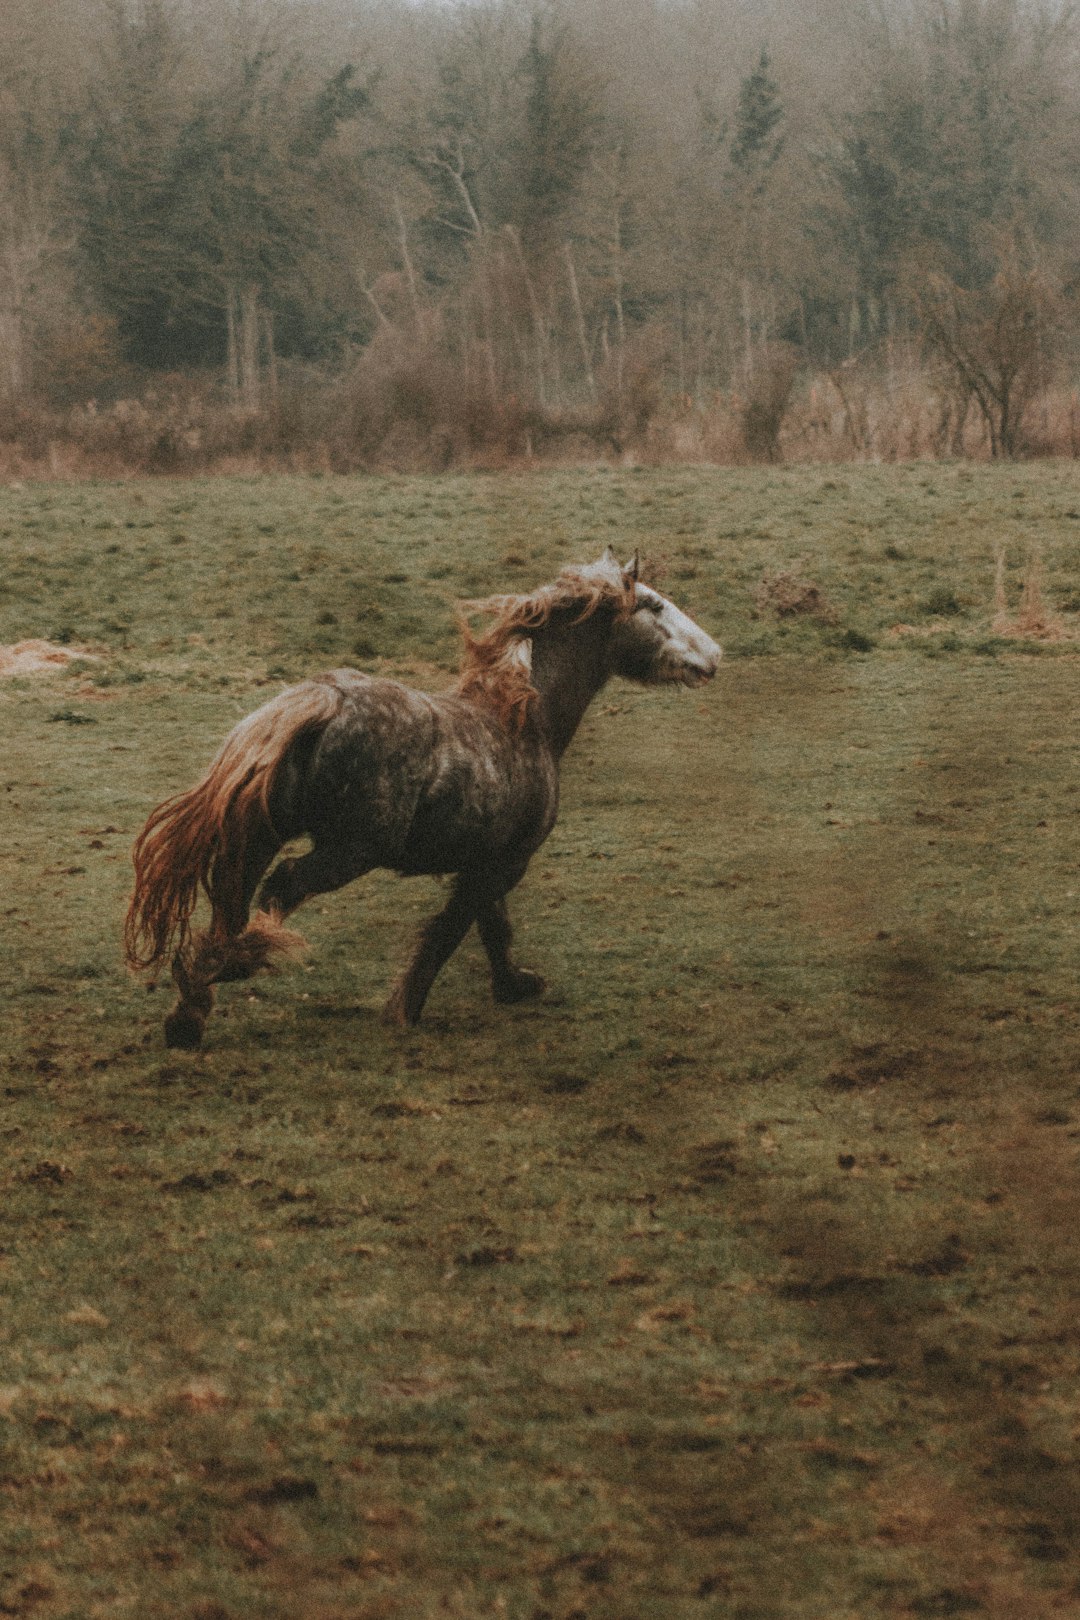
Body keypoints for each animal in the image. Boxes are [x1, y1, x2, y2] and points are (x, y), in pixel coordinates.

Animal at [122, 547, 718, 1049]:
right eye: (654, 604)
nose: (714, 655)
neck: (526, 720)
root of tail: (324, 698)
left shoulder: (486, 859)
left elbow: (492, 926)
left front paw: (515, 985)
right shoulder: (507, 861)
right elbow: (452, 929)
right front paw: (405, 1009)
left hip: (262, 834)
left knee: (232, 896)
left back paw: (189, 1013)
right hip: (348, 853)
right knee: (278, 889)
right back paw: (236, 965)